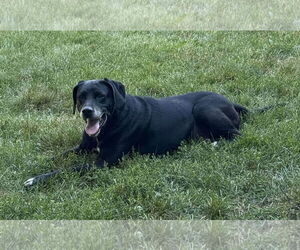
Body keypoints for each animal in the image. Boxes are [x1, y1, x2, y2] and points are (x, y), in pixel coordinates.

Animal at [24, 78, 272, 186]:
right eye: (81, 96)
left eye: (101, 96)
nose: (86, 111)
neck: (112, 122)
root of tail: (230, 102)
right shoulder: (82, 148)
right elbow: (58, 157)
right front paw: (37, 163)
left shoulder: (103, 163)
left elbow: (66, 169)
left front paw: (35, 179)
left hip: (205, 108)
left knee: (237, 135)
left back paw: (215, 144)